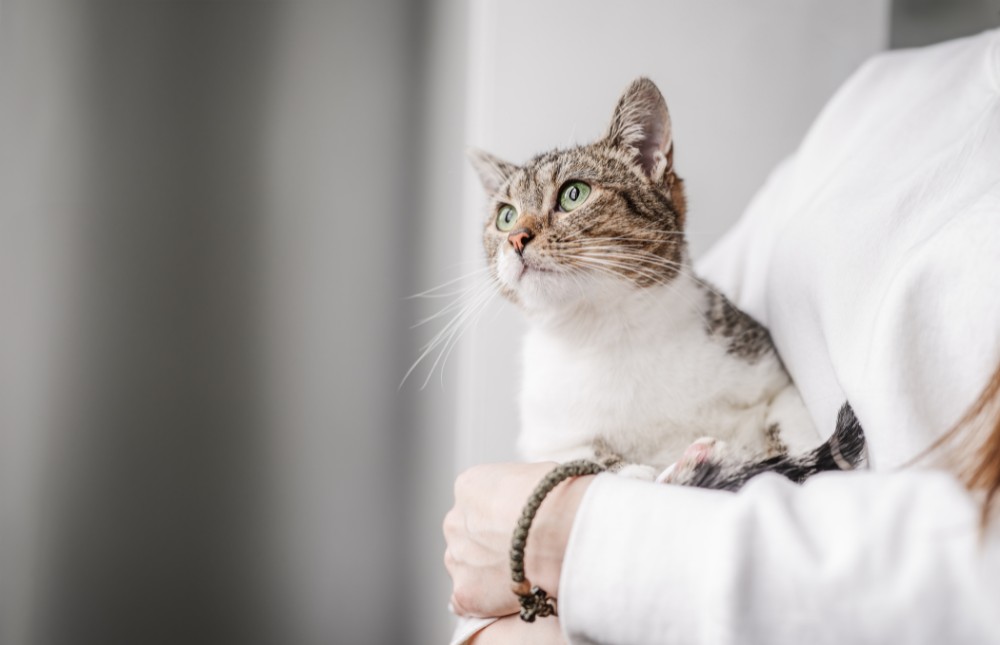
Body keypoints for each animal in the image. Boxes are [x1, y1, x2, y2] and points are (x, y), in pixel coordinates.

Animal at [464, 76, 864, 488]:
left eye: (574, 194)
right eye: (506, 216)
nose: (516, 238)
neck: (610, 330)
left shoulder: (771, 377)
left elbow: (793, 435)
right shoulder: (549, 438)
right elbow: (587, 456)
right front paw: (651, 471)